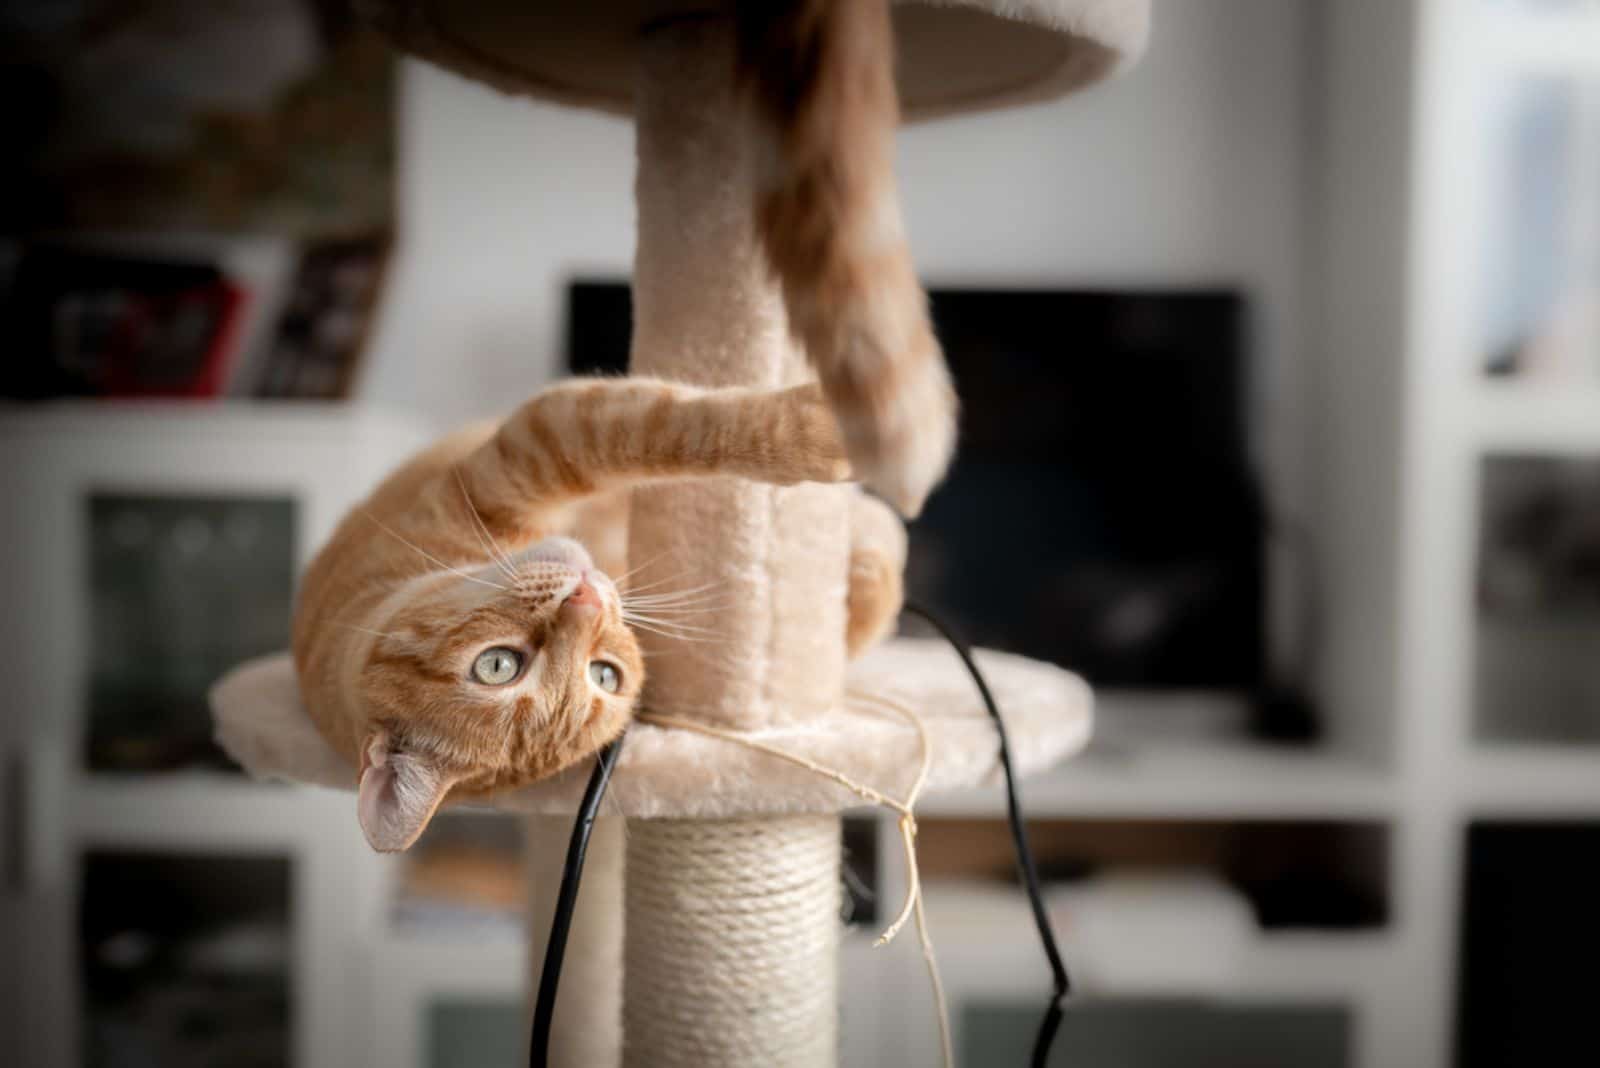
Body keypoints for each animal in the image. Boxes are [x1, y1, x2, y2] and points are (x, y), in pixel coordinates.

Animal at [292, 375, 908, 850]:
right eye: (500, 666)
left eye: (604, 673)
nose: (586, 599)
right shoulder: (537, 442)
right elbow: (672, 426)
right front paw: (834, 428)